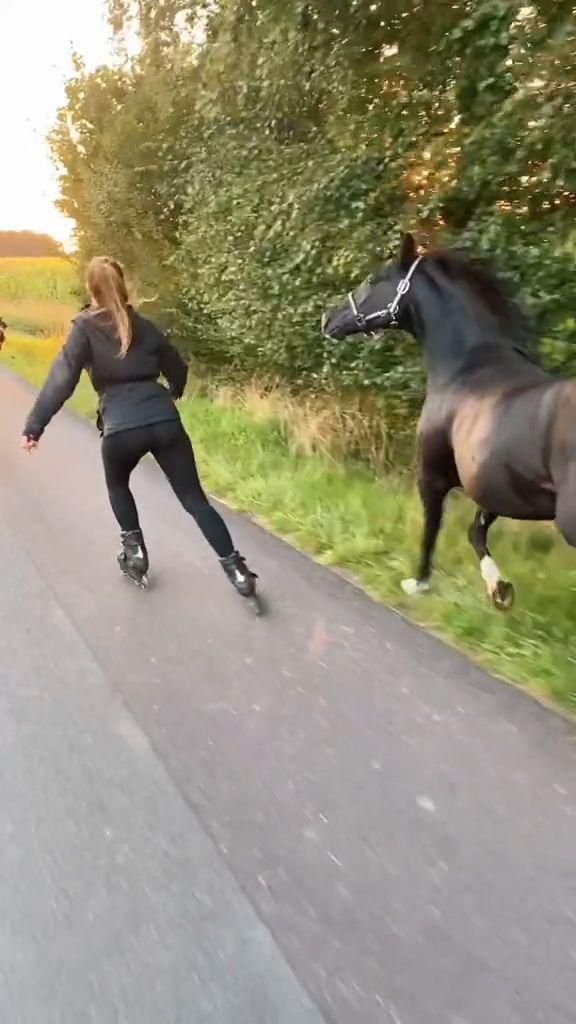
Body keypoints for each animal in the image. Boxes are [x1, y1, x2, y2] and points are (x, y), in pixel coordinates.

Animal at [319, 234, 569, 606]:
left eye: (372, 280)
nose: (328, 321)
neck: (466, 367)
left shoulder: (432, 477)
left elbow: (431, 529)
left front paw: (419, 582)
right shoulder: (493, 488)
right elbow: (475, 532)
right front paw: (499, 590)